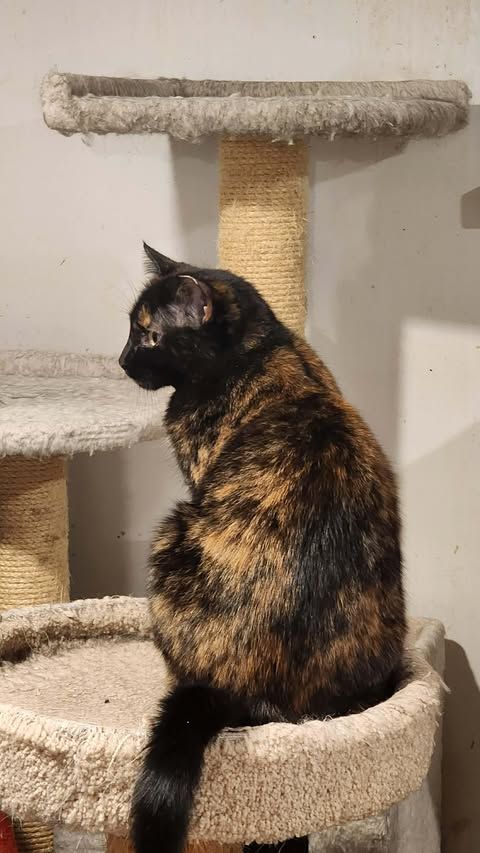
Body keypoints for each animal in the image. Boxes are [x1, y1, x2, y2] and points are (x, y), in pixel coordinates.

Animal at [120, 243, 406, 853]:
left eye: (148, 335)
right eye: (133, 331)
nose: (121, 359)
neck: (259, 349)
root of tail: (258, 697)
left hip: (171, 533)